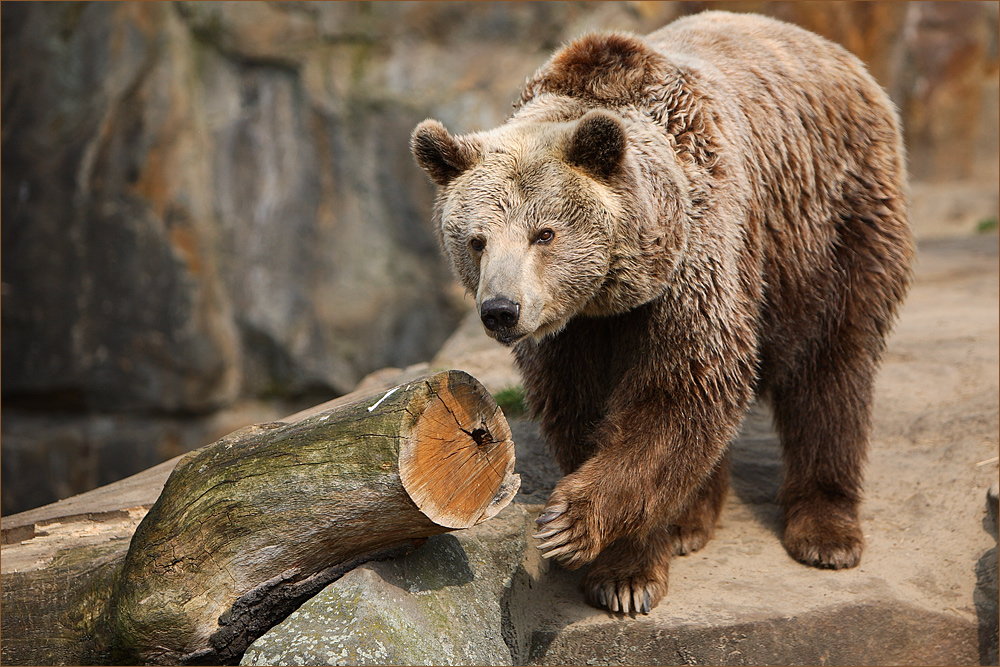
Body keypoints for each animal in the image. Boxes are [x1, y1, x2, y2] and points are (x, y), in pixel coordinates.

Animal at [408, 10, 916, 616]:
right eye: (476, 240)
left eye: (544, 233)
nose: (501, 310)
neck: (614, 294)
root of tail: (829, 49)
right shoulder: (572, 333)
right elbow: (581, 407)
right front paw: (625, 562)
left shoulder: (696, 258)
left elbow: (680, 392)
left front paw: (588, 541)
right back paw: (692, 519)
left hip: (829, 222)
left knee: (831, 365)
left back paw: (825, 529)